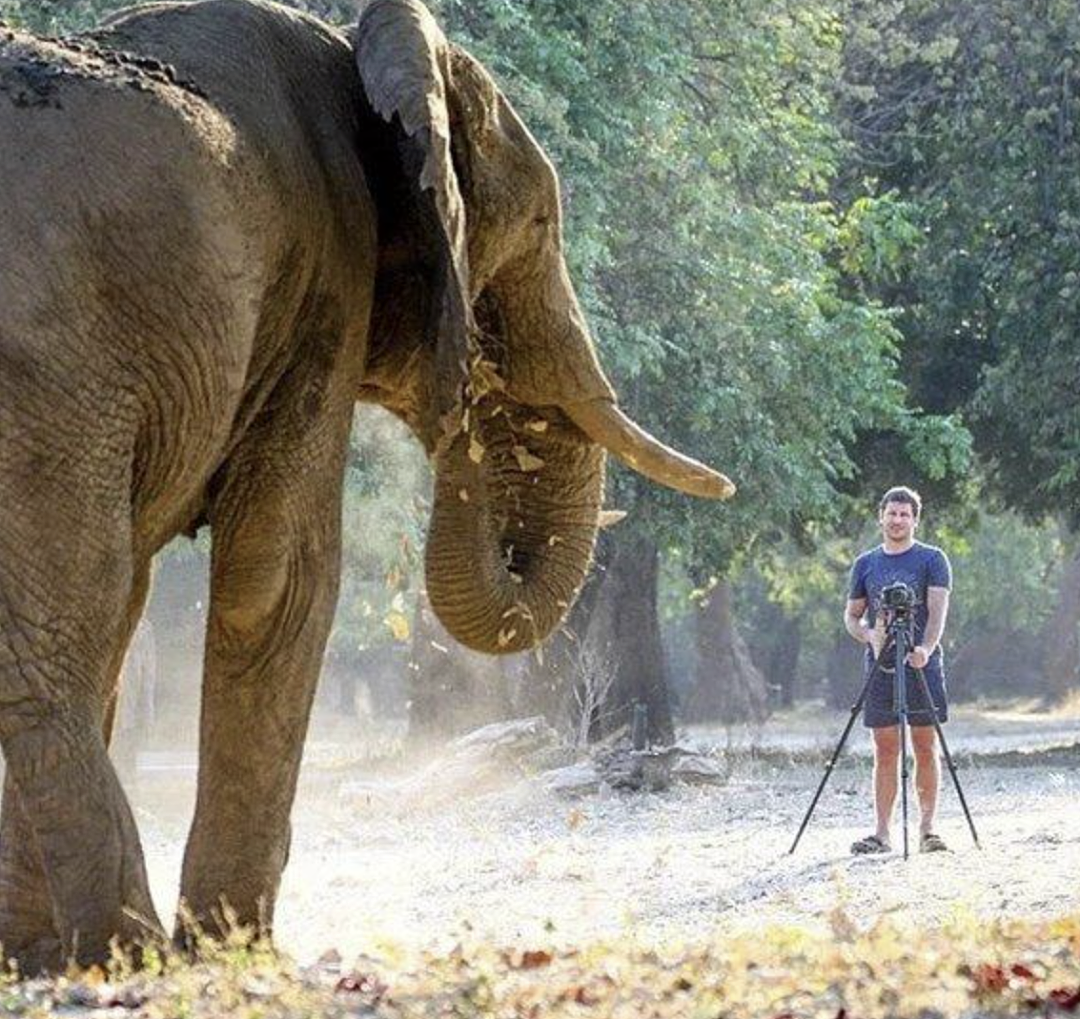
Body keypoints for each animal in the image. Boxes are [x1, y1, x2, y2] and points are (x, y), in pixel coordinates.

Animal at [0, 0, 733, 971]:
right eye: (542, 223)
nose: (469, 401)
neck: (365, 51)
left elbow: (140, 603)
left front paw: (41, 955)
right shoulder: (323, 269)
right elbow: (274, 577)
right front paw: (236, 952)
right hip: (47, 367)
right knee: (62, 630)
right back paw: (132, 950)